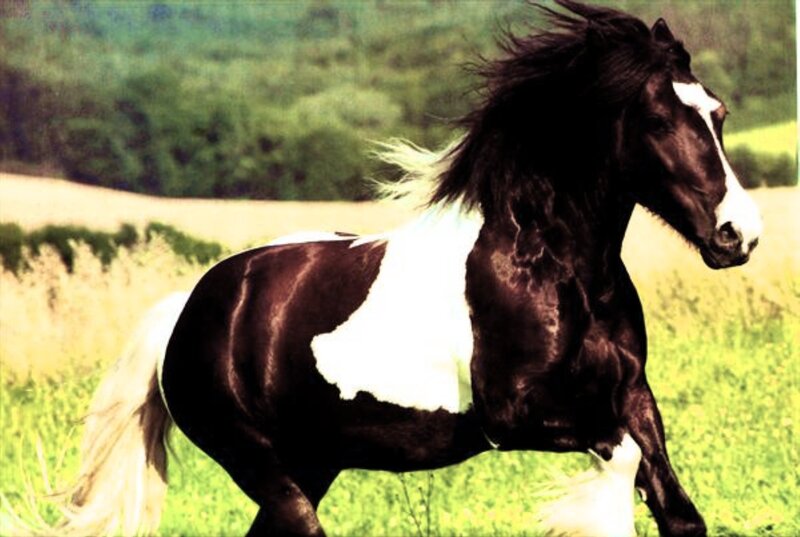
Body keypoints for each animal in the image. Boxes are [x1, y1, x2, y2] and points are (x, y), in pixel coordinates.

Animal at [25, 1, 763, 536]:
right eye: (659, 119)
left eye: (719, 112)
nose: (740, 235)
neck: (555, 270)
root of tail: (190, 307)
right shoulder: (517, 416)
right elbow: (620, 466)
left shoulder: (632, 394)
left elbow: (679, 511)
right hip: (259, 459)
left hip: (312, 460)